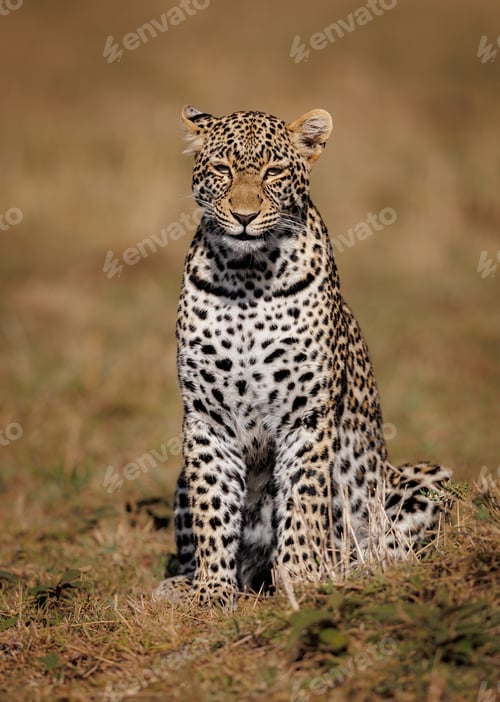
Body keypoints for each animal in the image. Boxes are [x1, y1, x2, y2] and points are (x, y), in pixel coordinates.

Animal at [154, 105, 451, 610]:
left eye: (273, 171)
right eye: (222, 169)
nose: (244, 216)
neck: (247, 276)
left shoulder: (307, 416)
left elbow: (303, 503)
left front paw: (301, 579)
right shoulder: (207, 419)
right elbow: (212, 509)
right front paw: (211, 591)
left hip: (426, 480)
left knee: (388, 546)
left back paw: (356, 572)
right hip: (179, 476)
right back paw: (181, 584)